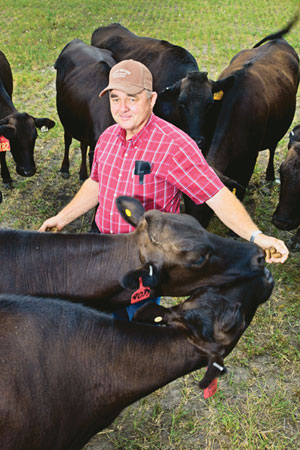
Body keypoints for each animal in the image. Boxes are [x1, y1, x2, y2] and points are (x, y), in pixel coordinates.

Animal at [54, 38, 115, 179]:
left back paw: (82, 173)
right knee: (68, 139)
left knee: (82, 145)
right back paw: (65, 168)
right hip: (67, 120)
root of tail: (77, 41)